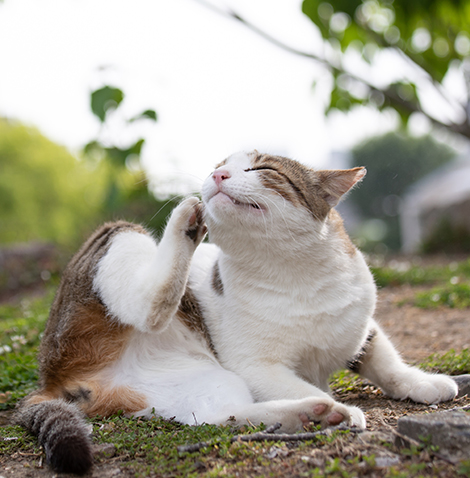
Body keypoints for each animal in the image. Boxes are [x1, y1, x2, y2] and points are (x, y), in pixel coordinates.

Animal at [16, 150, 458, 474]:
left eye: (261, 168)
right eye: (219, 165)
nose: (217, 176)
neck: (297, 276)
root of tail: (51, 378)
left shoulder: (359, 325)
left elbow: (385, 360)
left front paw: (423, 383)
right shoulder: (256, 367)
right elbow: (301, 382)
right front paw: (342, 408)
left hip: (196, 380)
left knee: (220, 416)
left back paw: (306, 416)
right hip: (113, 244)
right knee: (148, 306)